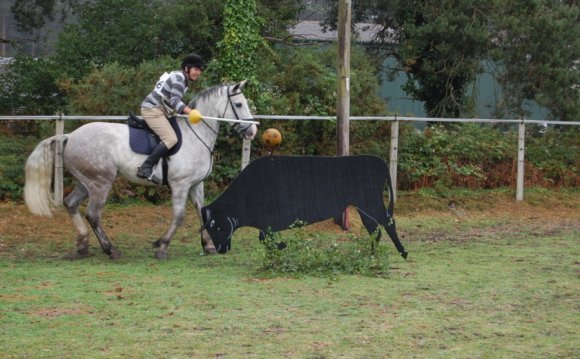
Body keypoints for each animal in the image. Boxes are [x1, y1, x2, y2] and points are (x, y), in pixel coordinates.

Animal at [24, 81, 256, 262]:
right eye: (238, 104)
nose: (252, 131)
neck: (195, 135)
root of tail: (69, 136)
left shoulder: (196, 184)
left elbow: (202, 212)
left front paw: (207, 246)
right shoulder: (180, 185)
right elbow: (179, 216)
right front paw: (162, 246)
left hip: (86, 182)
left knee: (71, 204)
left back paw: (82, 245)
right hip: (101, 183)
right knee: (93, 214)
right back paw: (111, 250)